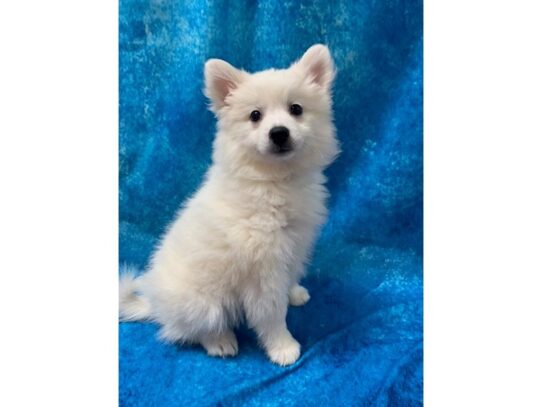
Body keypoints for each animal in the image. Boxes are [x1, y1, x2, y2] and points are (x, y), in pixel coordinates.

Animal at [120, 44, 340, 366]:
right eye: (255, 115)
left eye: (296, 109)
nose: (279, 132)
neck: (273, 180)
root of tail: (157, 307)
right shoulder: (263, 271)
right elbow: (272, 314)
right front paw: (283, 347)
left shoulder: (293, 246)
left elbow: (289, 278)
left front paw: (295, 293)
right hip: (203, 302)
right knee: (191, 330)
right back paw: (220, 341)